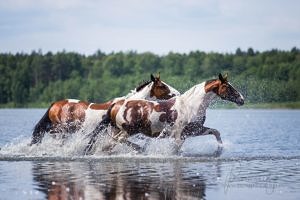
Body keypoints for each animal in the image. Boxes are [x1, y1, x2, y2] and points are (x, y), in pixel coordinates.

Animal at [84, 73, 244, 155]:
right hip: (128, 131)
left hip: (117, 130)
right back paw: (139, 150)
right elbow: (176, 151)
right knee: (116, 142)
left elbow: (216, 132)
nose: (242, 99)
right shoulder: (179, 135)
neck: (191, 105)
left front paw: (220, 148)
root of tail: (116, 104)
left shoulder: (193, 130)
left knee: (108, 145)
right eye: (227, 87)